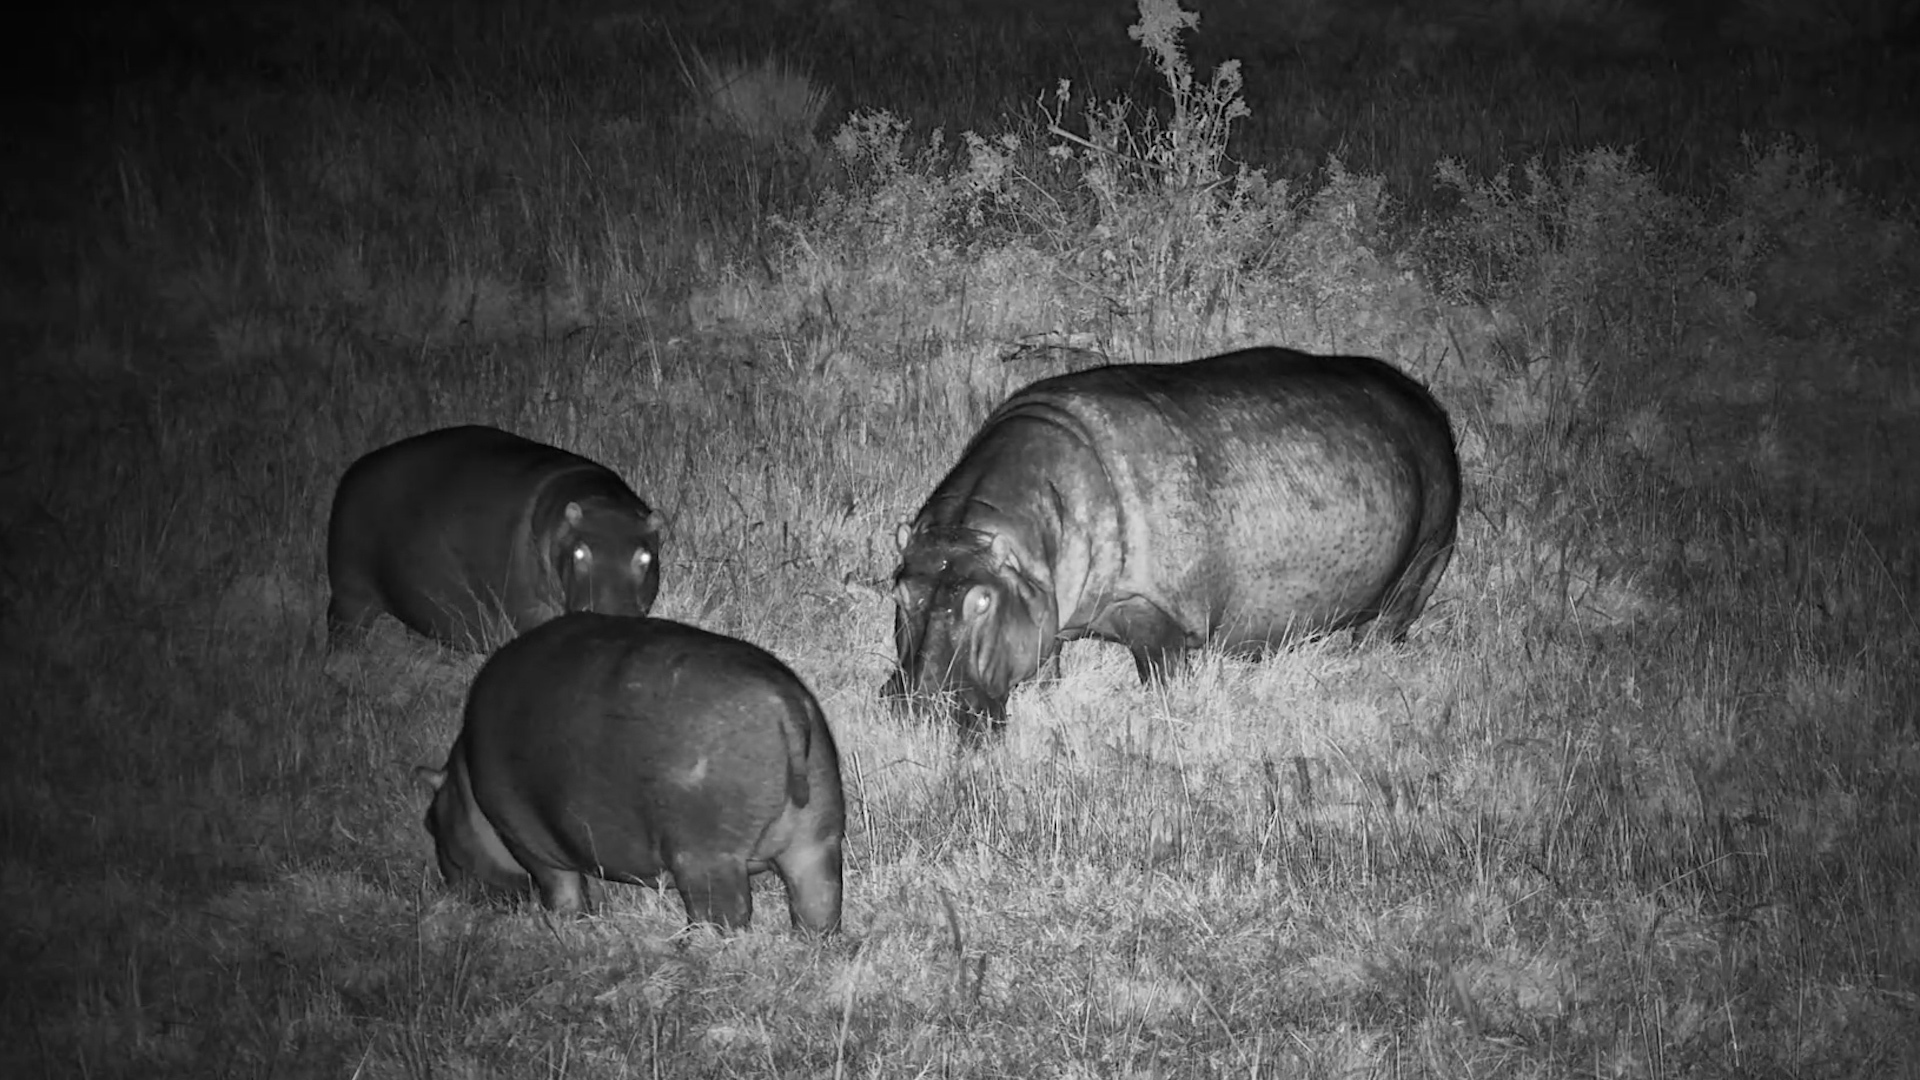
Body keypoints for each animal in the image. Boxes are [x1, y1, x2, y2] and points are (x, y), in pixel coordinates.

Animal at [326, 425, 663, 650]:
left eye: (645, 557)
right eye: (580, 553)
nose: (613, 618)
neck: (599, 504)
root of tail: (353, 471)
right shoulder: (529, 610)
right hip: (349, 593)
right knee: (343, 630)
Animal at [419, 612, 845, 934]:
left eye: (429, 821)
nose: (448, 893)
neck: (462, 783)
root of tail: (786, 703)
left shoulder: (525, 841)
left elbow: (561, 889)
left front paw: (561, 924)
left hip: (706, 857)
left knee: (725, 914)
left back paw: (694, 948)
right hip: (815, 841)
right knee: (818, 904)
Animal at [884, 346, 1460, 737]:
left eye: (982, 600)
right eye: (899, 591)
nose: (922, 705)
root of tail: (1426, 401)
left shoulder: (1159, 615)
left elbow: (1162, 677)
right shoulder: (1040, 607)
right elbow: (1045, 665)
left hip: (1425, 556)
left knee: (1386, 626)